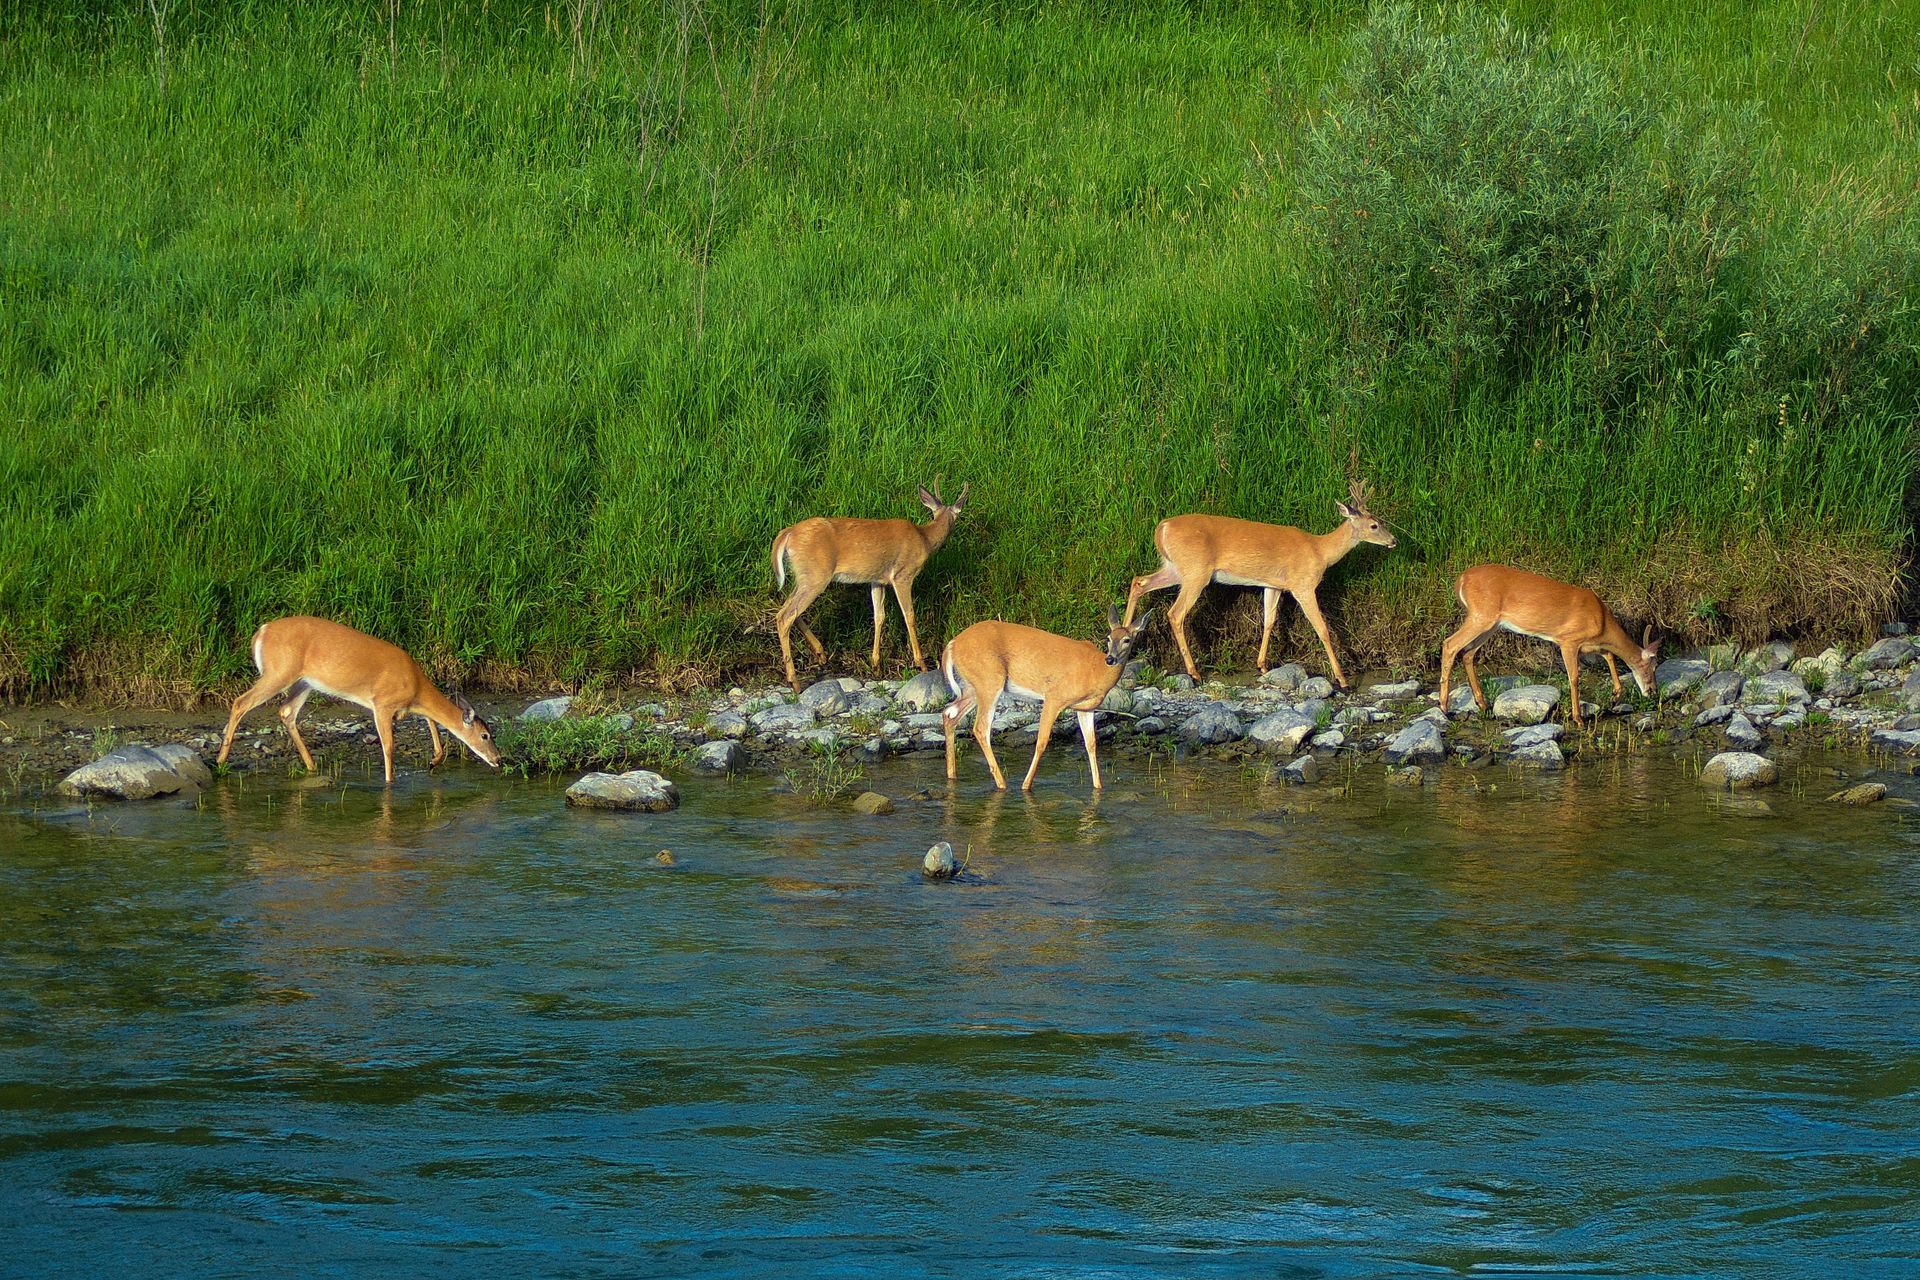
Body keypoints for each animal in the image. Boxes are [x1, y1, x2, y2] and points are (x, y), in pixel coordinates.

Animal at [771, 479, 967, 694]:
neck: (924, 538)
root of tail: (787, 533)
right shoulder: (902, 575)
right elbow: (909, 615)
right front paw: (921, 663)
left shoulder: (877, 580)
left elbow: (879, 616)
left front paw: (876, 665)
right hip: (816, 575)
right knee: (785, 615)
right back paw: (794, 681)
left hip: (805, 576)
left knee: (789, 610)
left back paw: (820, 654)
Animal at [936, 606, 1144, 794]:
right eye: (1108, 638)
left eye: (1127, 639)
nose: (1111, 659)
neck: (1096, 671)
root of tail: (952, 644)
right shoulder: (1054, 696)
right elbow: (1042, 741)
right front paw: (1026, 786)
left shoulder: (1086, 708)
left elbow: (1091, 744)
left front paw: (1098, 787)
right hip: (989, 680)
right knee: (980, 728)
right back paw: (1002, 783)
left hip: (973, 687)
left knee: (949, 713)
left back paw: (952, 775)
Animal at [1121, 477, 1397, 687]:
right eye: (1374, 525)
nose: (1393, 541)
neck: (1320, 550)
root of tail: (1162, 527)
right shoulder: (1303, 585)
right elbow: (1322, 628)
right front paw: (1343, 680)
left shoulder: (1273, 585)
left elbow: (1269, 621)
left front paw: (1262, 665)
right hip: (1195, 572)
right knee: (1175, 613)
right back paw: (1194, 672)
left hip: (1175, 568)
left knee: (1138, 582)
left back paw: (1121, 642)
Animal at [1436, 564, 1658, 729]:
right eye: (1652, 667)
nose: (1653, 691)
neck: (1601, 621)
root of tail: (1461, 579)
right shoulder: (1568, 640)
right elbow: (1574, 677)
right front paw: (1578, 719)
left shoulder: (1589, 644)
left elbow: (1609, 656)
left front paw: (1615, 697)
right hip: (1481, 616)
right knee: (1450, 644)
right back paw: (1444, 707)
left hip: (1491, 623)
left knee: (1467, 653)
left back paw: (1482, 704)